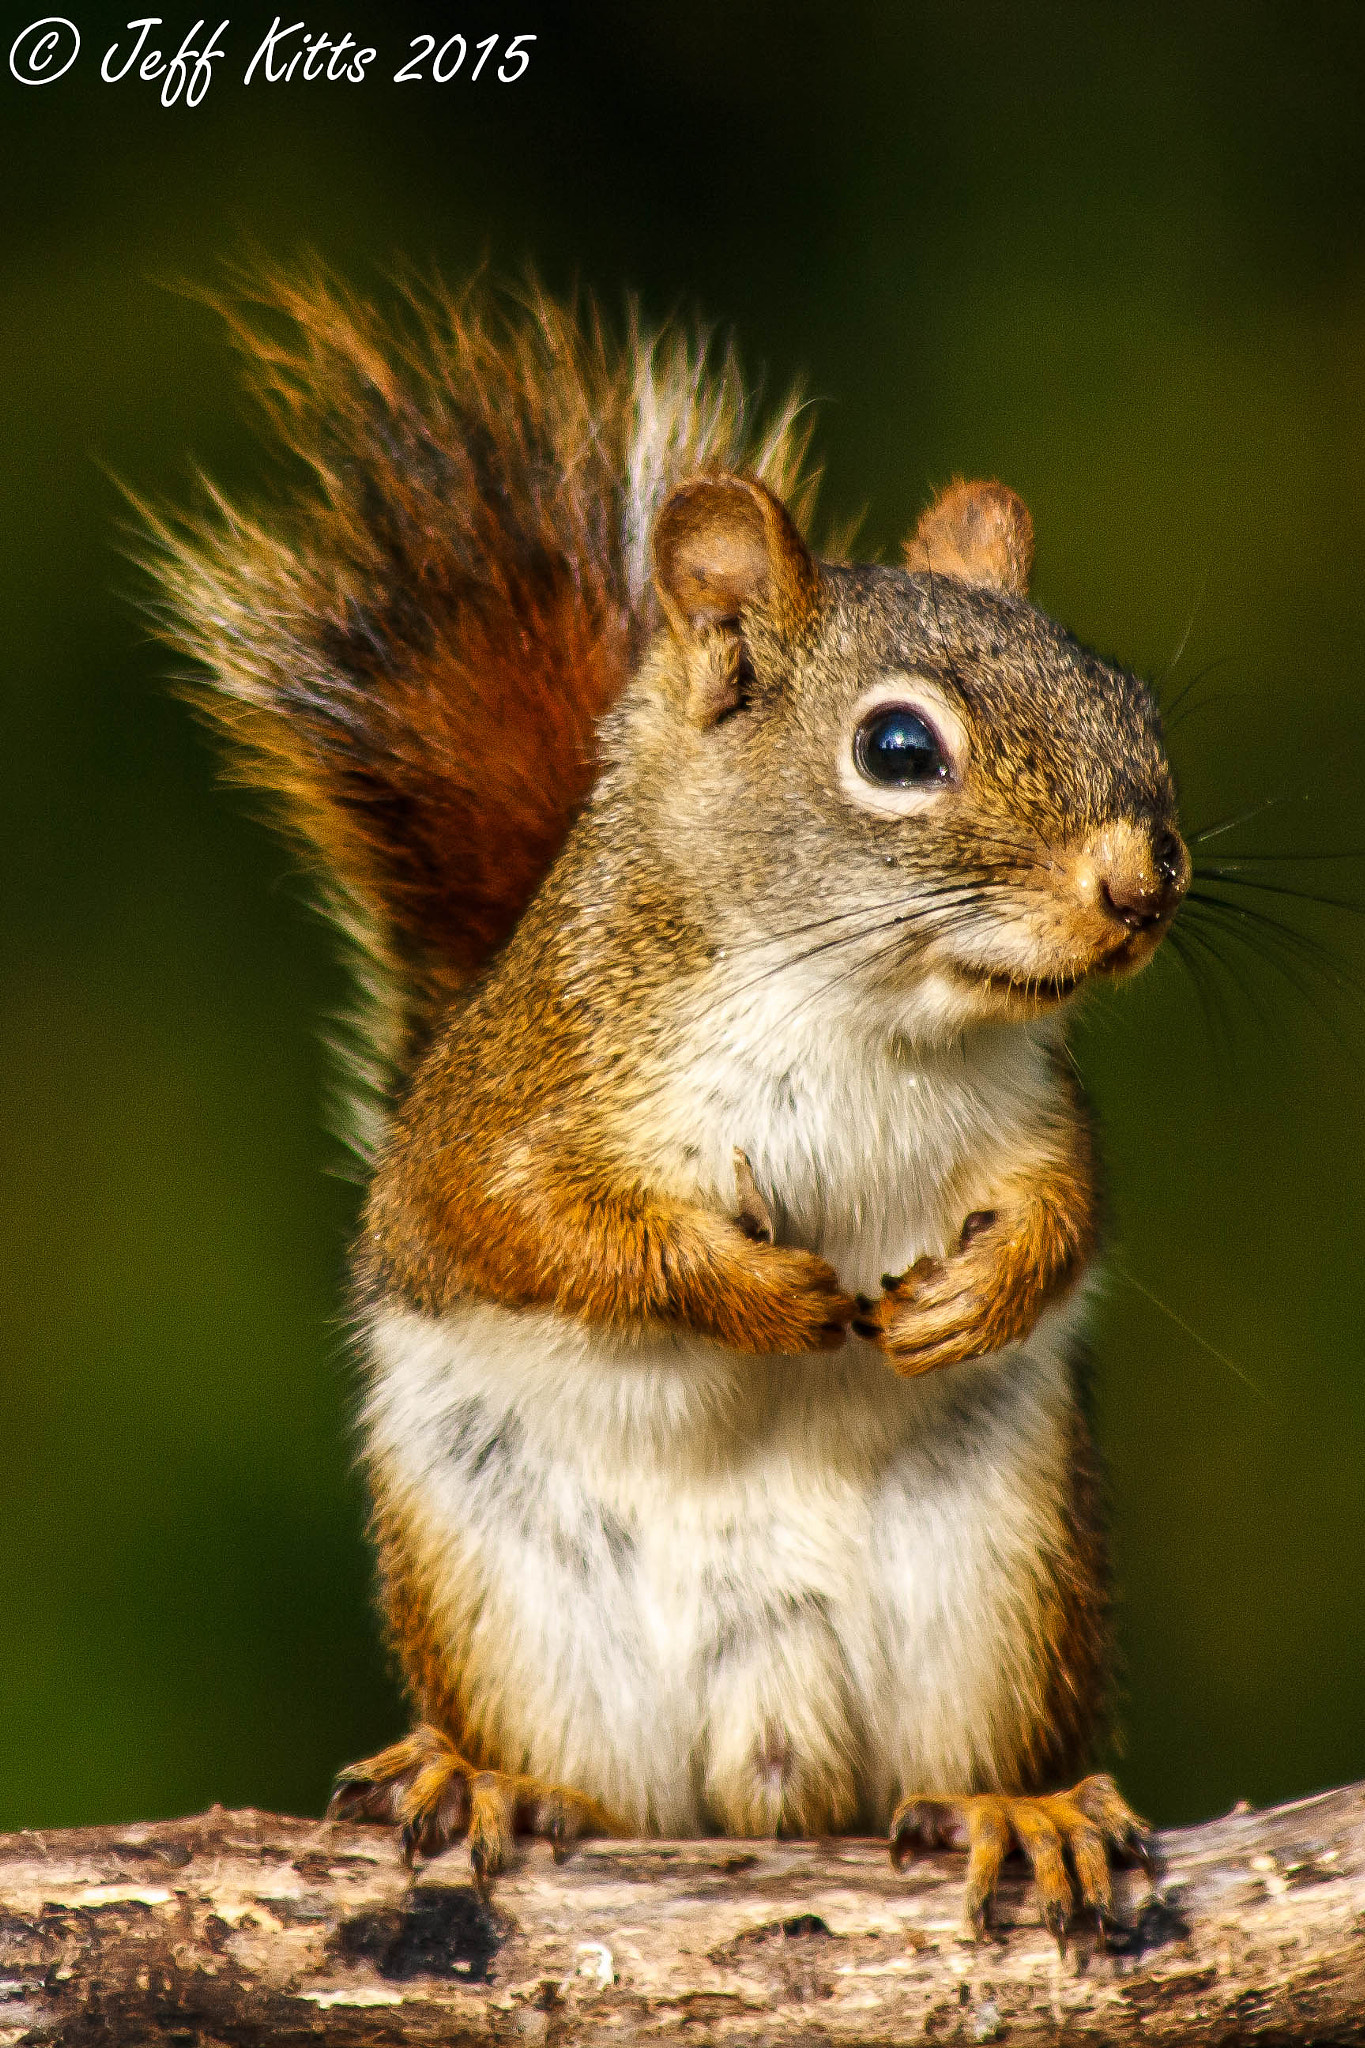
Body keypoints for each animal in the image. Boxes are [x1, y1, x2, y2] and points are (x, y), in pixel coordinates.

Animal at [149, 271, 1189, 1939]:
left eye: (1127, 694)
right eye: (899, 747)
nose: (1142, 883)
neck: (858, 1009)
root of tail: (762, 1775)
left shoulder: (1036, 1107)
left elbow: (1067, 1211)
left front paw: (976, 1296)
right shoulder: (514, 1103)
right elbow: (529, 1228)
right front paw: (750, 1293)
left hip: (1004, 1579)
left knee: (963, 1754)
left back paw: (1017, 1808)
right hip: (504, 1591)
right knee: (566, 1770)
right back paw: (486, 1780)